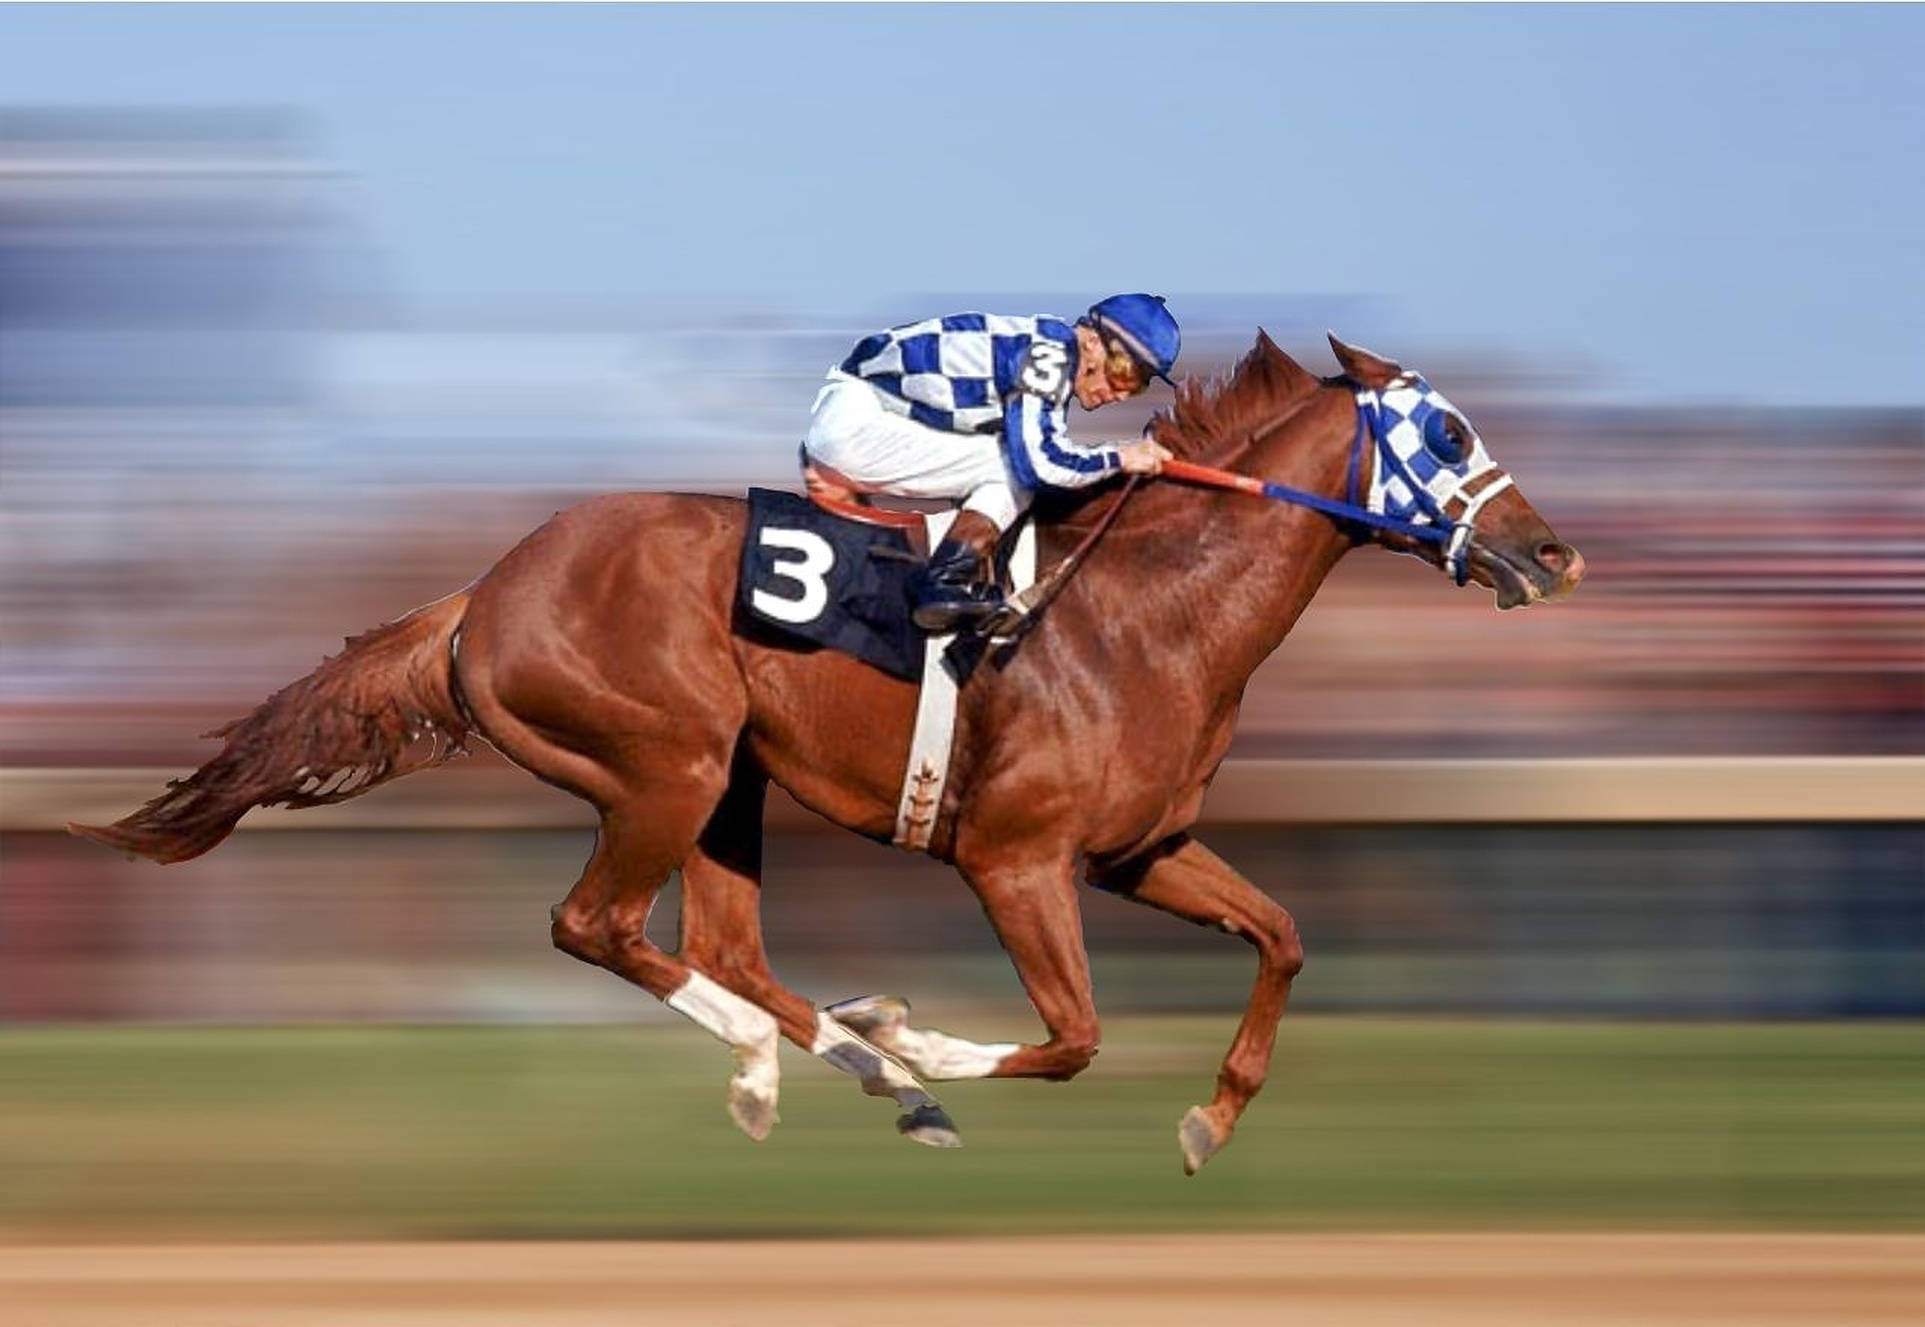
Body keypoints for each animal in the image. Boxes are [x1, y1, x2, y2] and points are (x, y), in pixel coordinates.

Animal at [72, 331, 1584, 1174]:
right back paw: (822, 1061)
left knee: (720, 945)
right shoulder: (1013, 858)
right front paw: (922, 1039)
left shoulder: (1138, 850)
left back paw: (834, 1063)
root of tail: (484, 590)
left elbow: (1280, 937)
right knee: (596, 925)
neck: (1149, 610)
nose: (1554, 552)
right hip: (667, 763)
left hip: (727, 781)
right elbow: (1073, 1037)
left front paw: (1209, 1117)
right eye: (1449, 428)